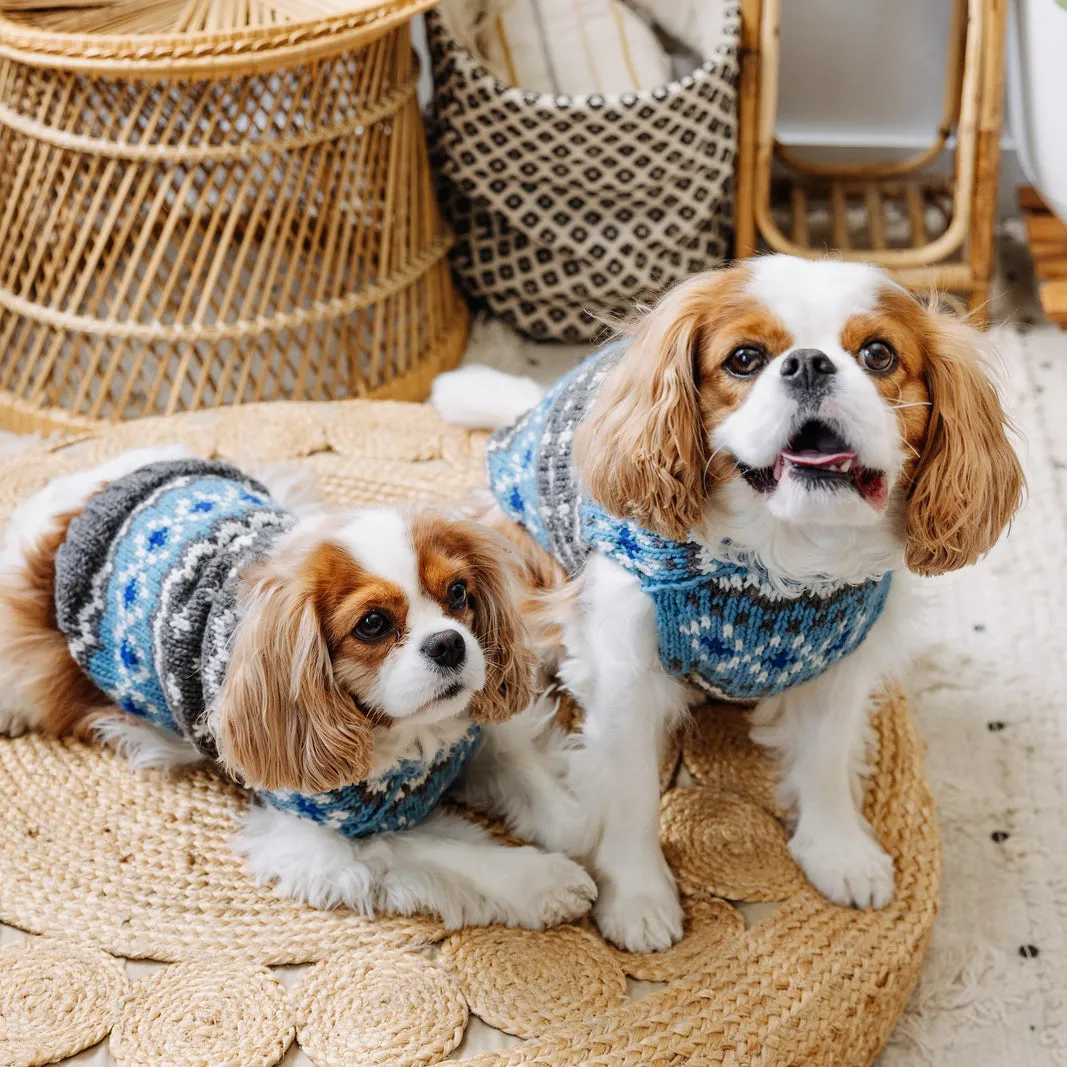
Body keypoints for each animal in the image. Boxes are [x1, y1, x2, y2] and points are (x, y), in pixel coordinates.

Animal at [433, 256, 1024, 951]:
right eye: (744, 359)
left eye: (878, 354)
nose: (809, 363)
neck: (783, 556)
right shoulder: (626, 676)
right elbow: (632, 792)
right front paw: (638, 896)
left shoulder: (840, 668)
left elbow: (826, 761)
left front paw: (838, 849)